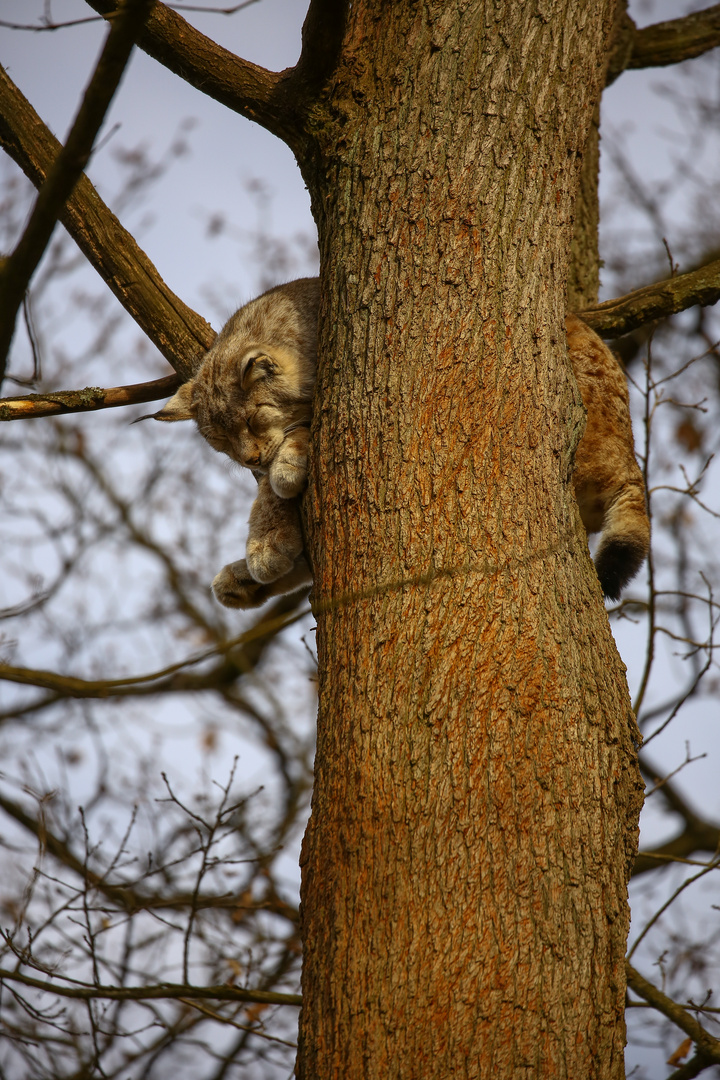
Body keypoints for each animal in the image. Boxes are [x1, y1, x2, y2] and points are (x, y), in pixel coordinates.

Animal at [155, 278, 651, 609]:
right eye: (222, 446)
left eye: (254, 421)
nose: (254, 459)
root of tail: (630, 459)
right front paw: (266, 542)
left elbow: (283, 467)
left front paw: (270, 526)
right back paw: (240, 582)